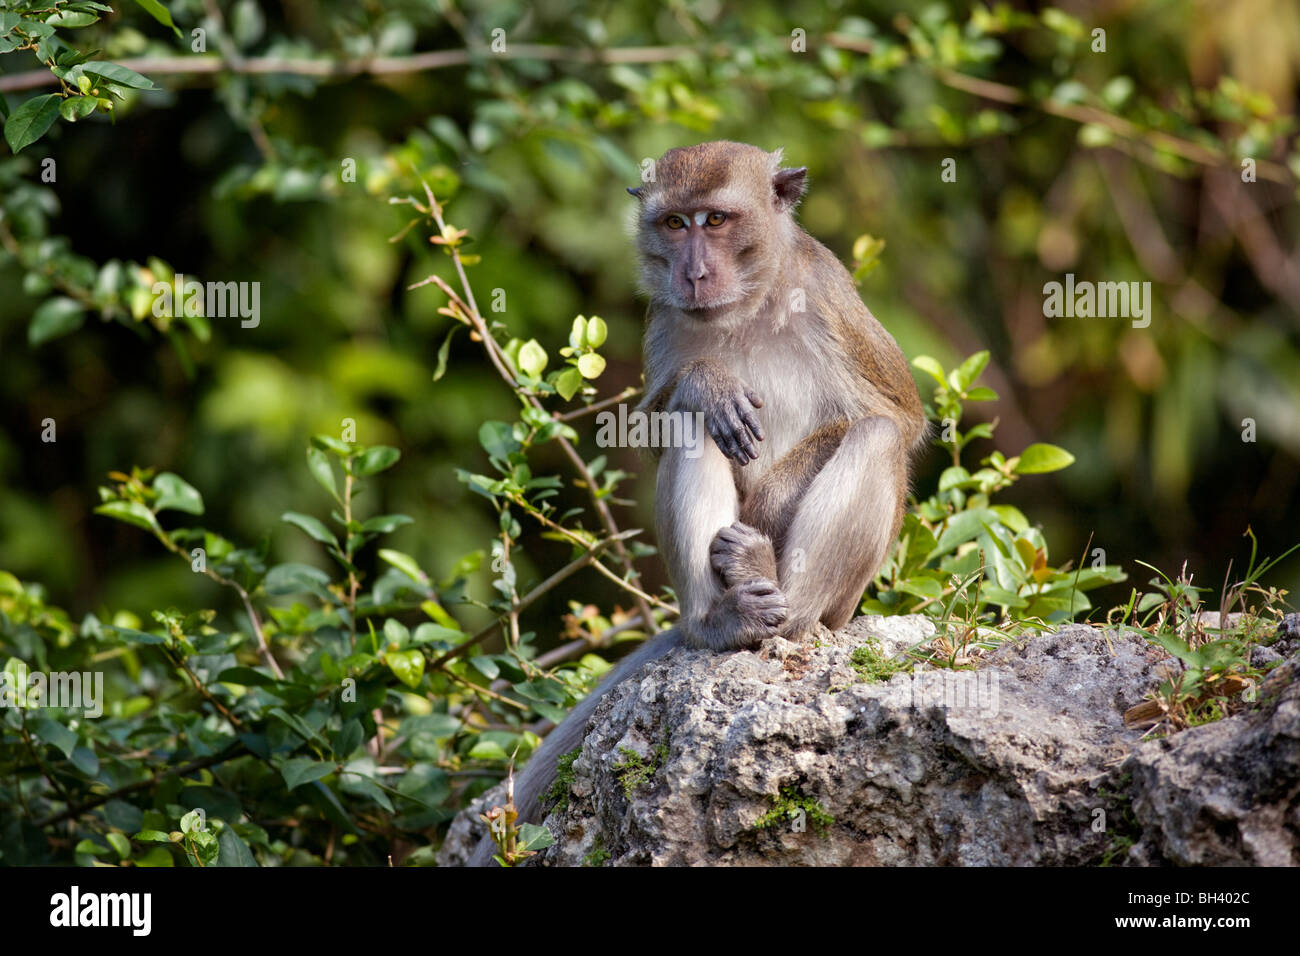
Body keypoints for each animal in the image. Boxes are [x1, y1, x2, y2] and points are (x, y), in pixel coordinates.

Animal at [465, 141, 925, 866]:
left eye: (716, 219)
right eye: (676, 224)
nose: (694, 271)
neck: (748, 305)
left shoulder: (829, 294)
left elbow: (899, 418)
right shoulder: (664, 319)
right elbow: (659, 423)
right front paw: (706, 383)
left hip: (843, 608)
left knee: (874, 439)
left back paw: (782, 601)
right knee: (692, 425)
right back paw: (723, 618)